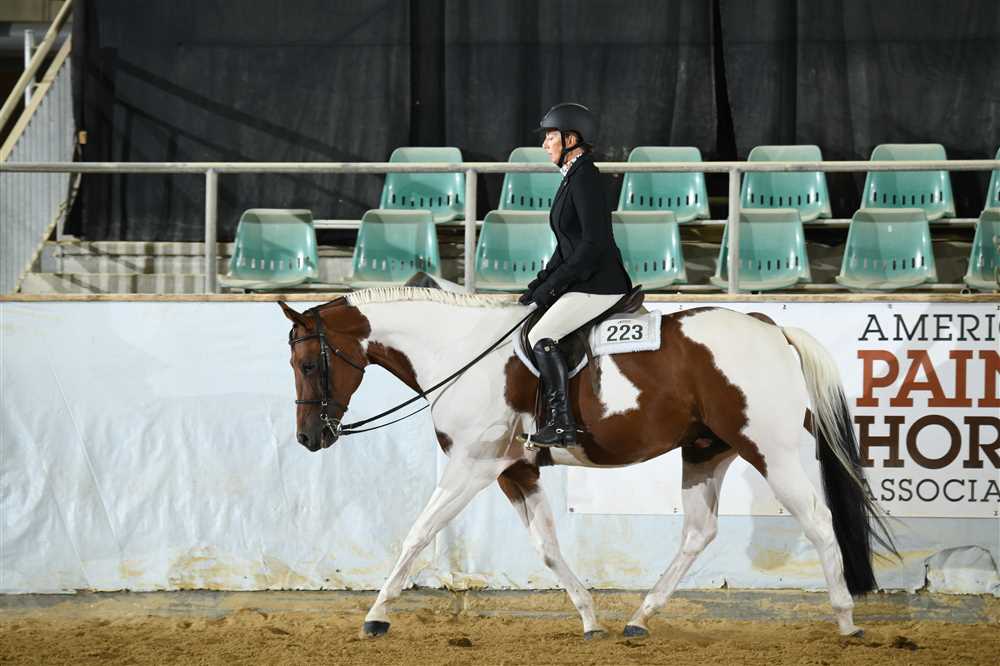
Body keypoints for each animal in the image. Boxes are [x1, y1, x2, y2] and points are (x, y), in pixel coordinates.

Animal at [278, 287, 896, 640]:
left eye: (308, 365)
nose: (309, 438)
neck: (460, 351)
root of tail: (771, 327)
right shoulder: (515, 470)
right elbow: (548, 548)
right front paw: (590, 618)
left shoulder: (472, 467)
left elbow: (417, 534)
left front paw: (376, 616)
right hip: (705, 449)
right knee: (699, 532)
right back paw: (638, 619)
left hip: (773, 449)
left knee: (819, 522)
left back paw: (846, 620)